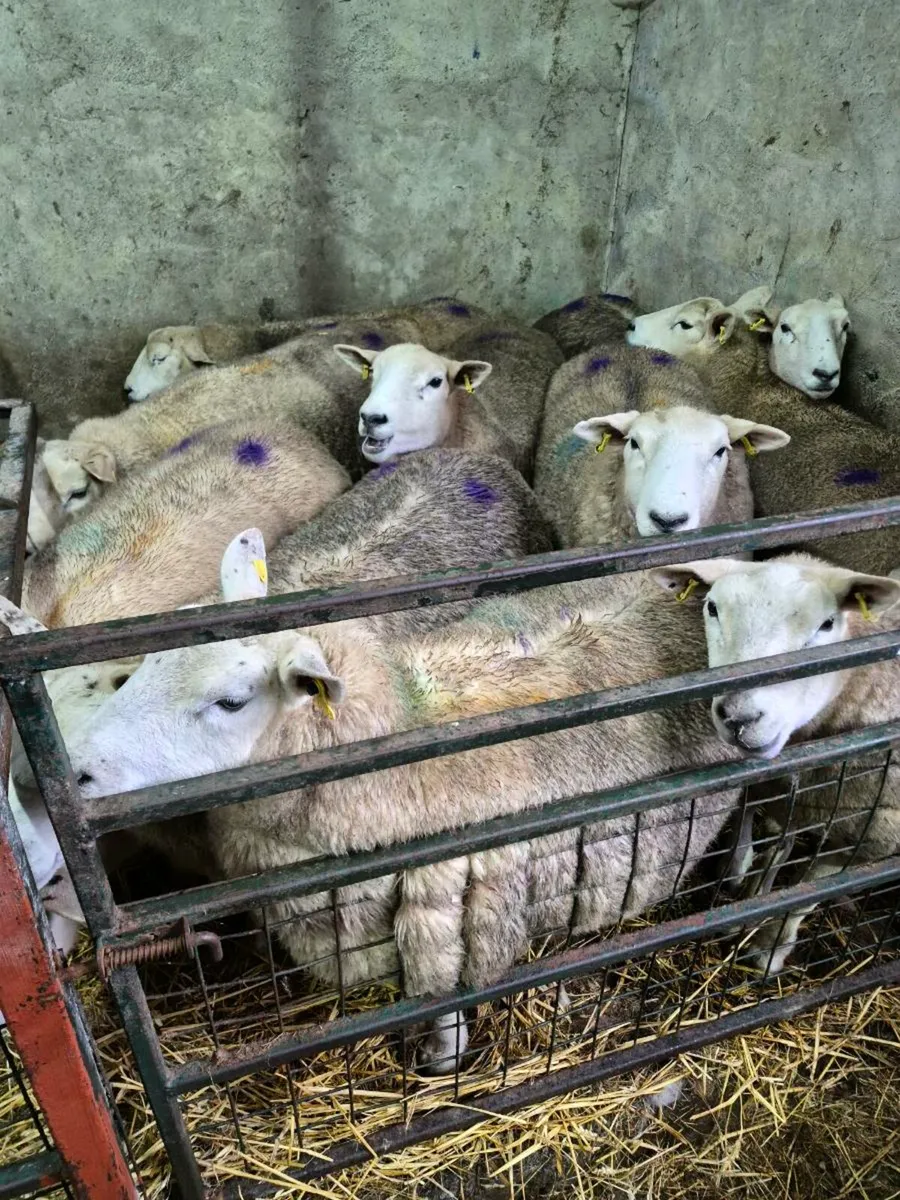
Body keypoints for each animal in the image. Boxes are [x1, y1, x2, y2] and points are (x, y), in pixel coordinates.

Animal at [66, 529, 744, 1071]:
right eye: (145, 662)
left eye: (230, 702)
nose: (77, 770)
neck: (392, 743)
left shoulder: (445, 903)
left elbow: (439, 997)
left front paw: (441, 1061)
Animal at [652, 552, 900, 973]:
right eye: (712, 608)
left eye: (827, 623)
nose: (739, 716)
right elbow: (751, 815)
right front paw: (739, 875)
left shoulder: (874, 840)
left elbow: (807, 889)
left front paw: (769, 944)